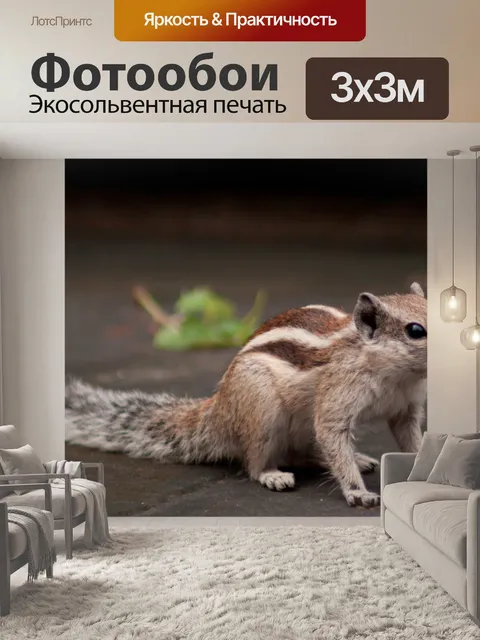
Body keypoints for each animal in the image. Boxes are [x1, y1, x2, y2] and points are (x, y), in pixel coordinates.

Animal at [66, 282, 427, 508]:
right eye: (415, 330)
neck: (394, 374)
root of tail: (218, 413)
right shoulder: (337, 395)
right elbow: (331, 432)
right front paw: (357, 492)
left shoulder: (405, 409)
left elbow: (410, 437)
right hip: (263, 410)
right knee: (257, 461)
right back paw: (272, 475)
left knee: (304, 452)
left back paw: (359, 458)